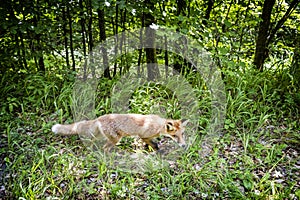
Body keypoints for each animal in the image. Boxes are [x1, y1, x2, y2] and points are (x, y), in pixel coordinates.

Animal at [51, 113, 188, 151]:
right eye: (175, 136)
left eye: (182, 135)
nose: (184, 145)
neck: (157, 125)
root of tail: (99, 118)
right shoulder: (143, 135)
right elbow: (154, 144)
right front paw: (157, 151)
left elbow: (150, 144)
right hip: (115, 139)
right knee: (105, 148)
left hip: (101, 136)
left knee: (91, 141)